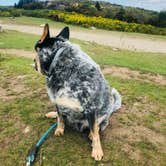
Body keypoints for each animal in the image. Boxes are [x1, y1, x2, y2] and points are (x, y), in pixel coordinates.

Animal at [34, 24, 122, 160]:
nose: (33, 62)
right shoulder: (57, 100)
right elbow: (60, 118)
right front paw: (59, 128)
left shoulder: (91, 108)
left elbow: (95, 131)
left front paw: (97, 150)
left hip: (104, 114)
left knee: (98, 126)